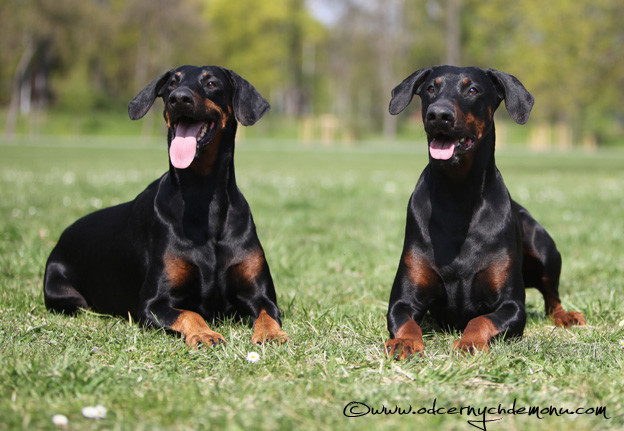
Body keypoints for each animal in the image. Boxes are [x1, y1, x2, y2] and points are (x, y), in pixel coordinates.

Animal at [44, 65, 288, 347]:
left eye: (212, 83)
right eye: (172, 83)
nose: (179, 98)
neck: (203, 198)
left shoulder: (261, 295)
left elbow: (266, 313)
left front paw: (271, 334)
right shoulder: (152, 303)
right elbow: (190, 313)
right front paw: (205, 334)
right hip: (62, 292)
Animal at [384, 66, 584, 360]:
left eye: (472, 90)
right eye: (431, 88)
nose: (439, 115)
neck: (458, 195)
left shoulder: (512, 305)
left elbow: (480, 320)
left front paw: (469, 342)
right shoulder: (403, 300)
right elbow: (406, 321)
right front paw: (404, 342)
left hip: (545, 249)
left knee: (552, 299)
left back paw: (566, 316)